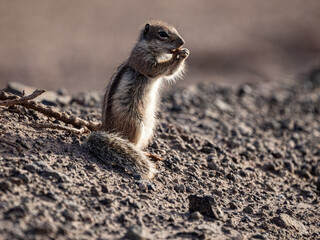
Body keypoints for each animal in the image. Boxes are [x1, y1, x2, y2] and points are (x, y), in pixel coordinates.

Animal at [85, 20, 190, 178]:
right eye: (162, 34)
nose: (182, 42)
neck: (154, 50)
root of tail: (106, 130)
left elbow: (170, 73)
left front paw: (184, 52)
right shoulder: (141, 59)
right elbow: (155, 69)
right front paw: (179, 54)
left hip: (149, 127)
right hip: (136, 124)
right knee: (132, 143)